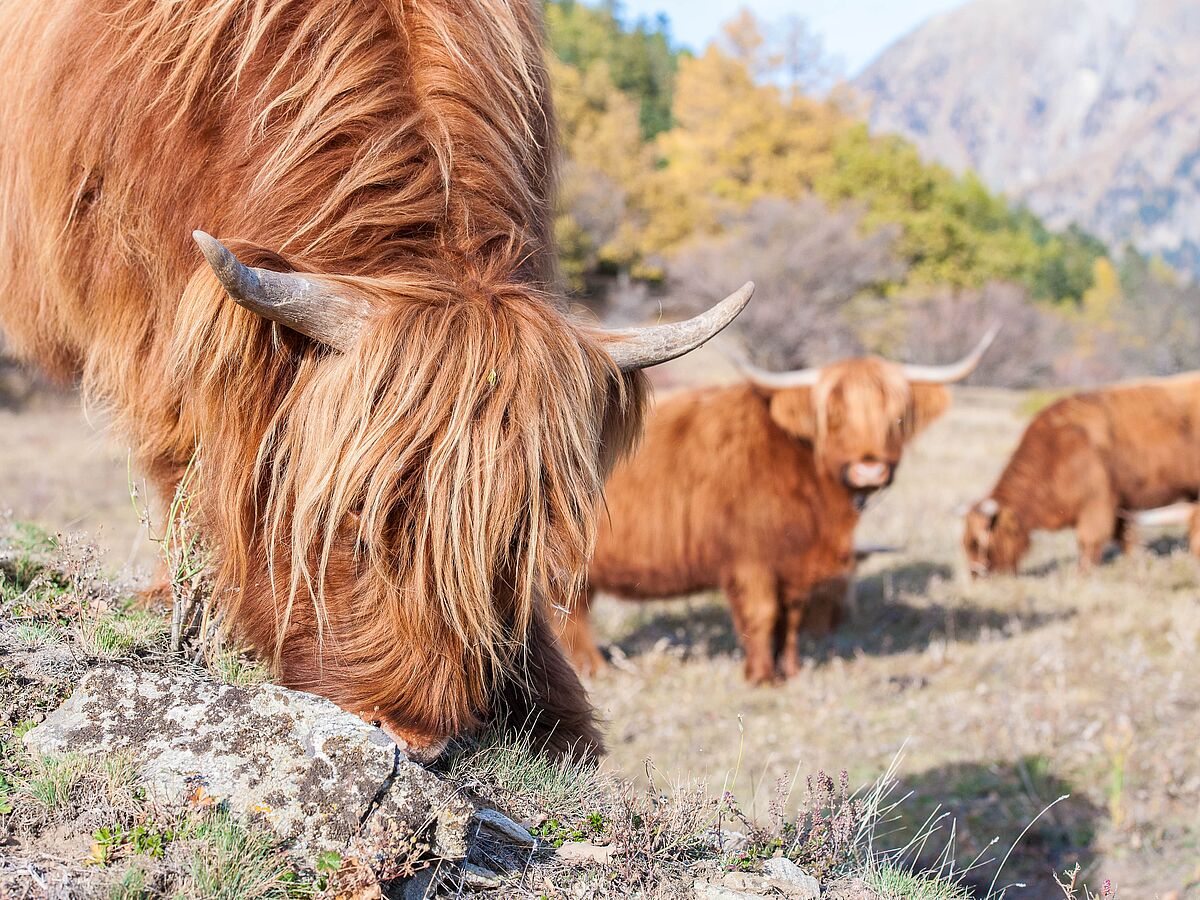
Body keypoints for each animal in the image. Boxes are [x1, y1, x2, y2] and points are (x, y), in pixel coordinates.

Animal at [0, 0, 748, 763]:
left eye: (517, 537)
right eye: (357, 521)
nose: (416, 736)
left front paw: (555, 713)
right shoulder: (142, 300)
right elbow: (187, 457)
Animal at [556, 328, 998, 686]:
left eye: (898, 417)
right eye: (832, 416)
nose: (869, 468)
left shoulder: (795, 564)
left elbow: (791, 618)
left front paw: (791, 671)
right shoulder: (750, 561)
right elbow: (763, 614)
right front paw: (762, 677)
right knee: (573, 616)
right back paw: (592, 669)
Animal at [960, 374, 1200, 578]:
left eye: (978, 543)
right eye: (966, 543)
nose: (976, 576)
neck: (1055, 450)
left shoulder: (1096, 504)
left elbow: (1090, 540)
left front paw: (1082, 574)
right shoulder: (1118, 506)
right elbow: (1125, 536)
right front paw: (1137, 561)